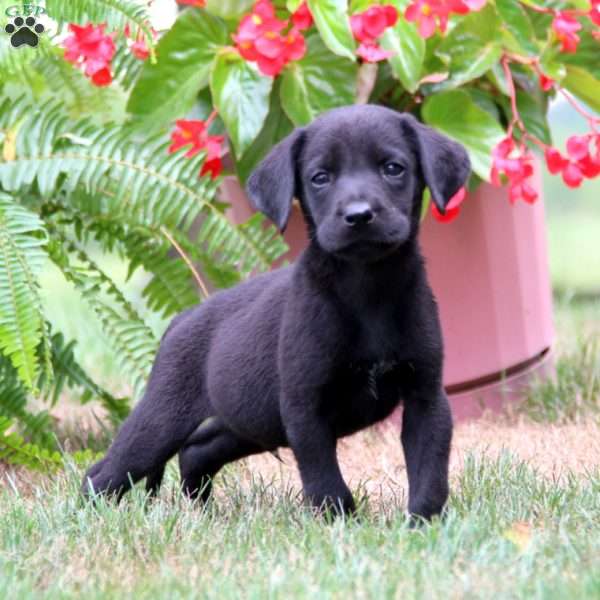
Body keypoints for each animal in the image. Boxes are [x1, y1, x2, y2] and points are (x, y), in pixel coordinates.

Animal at [83, 104, 468, 520]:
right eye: (320, 178)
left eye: (393, 168)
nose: (358, 216)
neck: (366, 289)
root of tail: (181, 319)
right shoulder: (304, 408)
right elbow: (326, 482)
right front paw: (342, 524)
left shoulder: (426, 397)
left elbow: (429, 474)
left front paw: (422, 525)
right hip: (163, 420)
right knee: (104, 472)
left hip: (248, 420)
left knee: (196, 450)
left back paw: (204, 511)